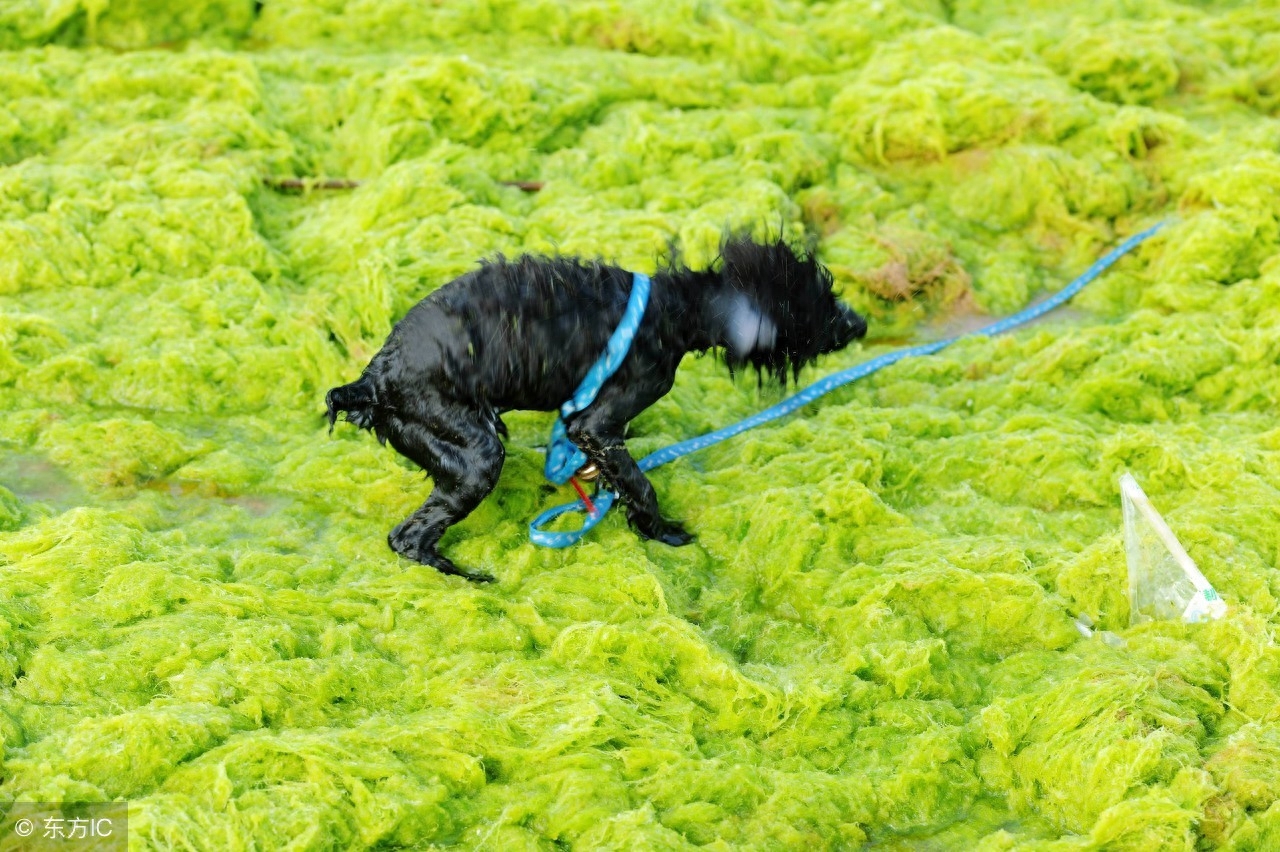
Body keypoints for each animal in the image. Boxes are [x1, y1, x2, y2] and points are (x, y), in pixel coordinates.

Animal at [330, 234, 870, 578]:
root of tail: (373, 378)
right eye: (818, 302)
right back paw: (468, 576)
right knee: (407, 537)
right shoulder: (594, 422)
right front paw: (665, 533)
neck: (674, 312)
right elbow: (640, 483)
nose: (861, 323)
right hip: (472, 452)